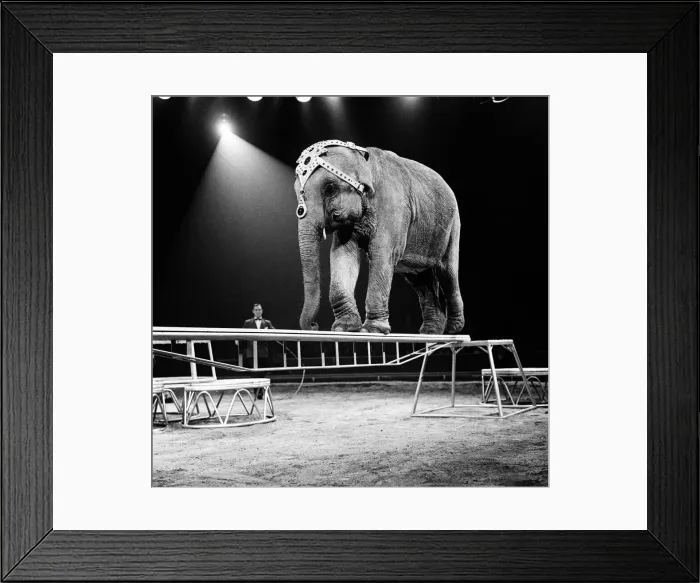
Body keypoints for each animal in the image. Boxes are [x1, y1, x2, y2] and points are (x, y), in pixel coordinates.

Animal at [294, 139, 464, 336]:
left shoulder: (393, 205)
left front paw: (372, 331)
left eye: (330, 189)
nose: (314, 325)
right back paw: (431, 332)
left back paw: (453, 329)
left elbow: (381, 254)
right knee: (421, 279)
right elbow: (342, 253)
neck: (363, 158)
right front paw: (344, 328)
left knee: (447, 272)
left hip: (452, 226)